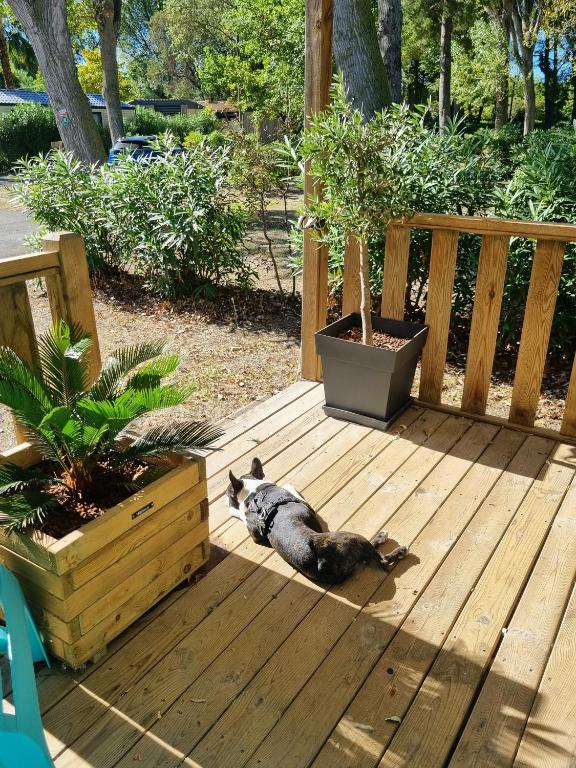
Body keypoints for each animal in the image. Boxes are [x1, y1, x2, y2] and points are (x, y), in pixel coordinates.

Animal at [226, 456, 410, 584]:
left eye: (227, 494)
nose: (225, 499)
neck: (255, 492)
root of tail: (321, 562)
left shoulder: (255, 533)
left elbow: (242, 515)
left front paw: (233, 509)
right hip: (350, 537)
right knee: (381, 558)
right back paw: (393, 545)